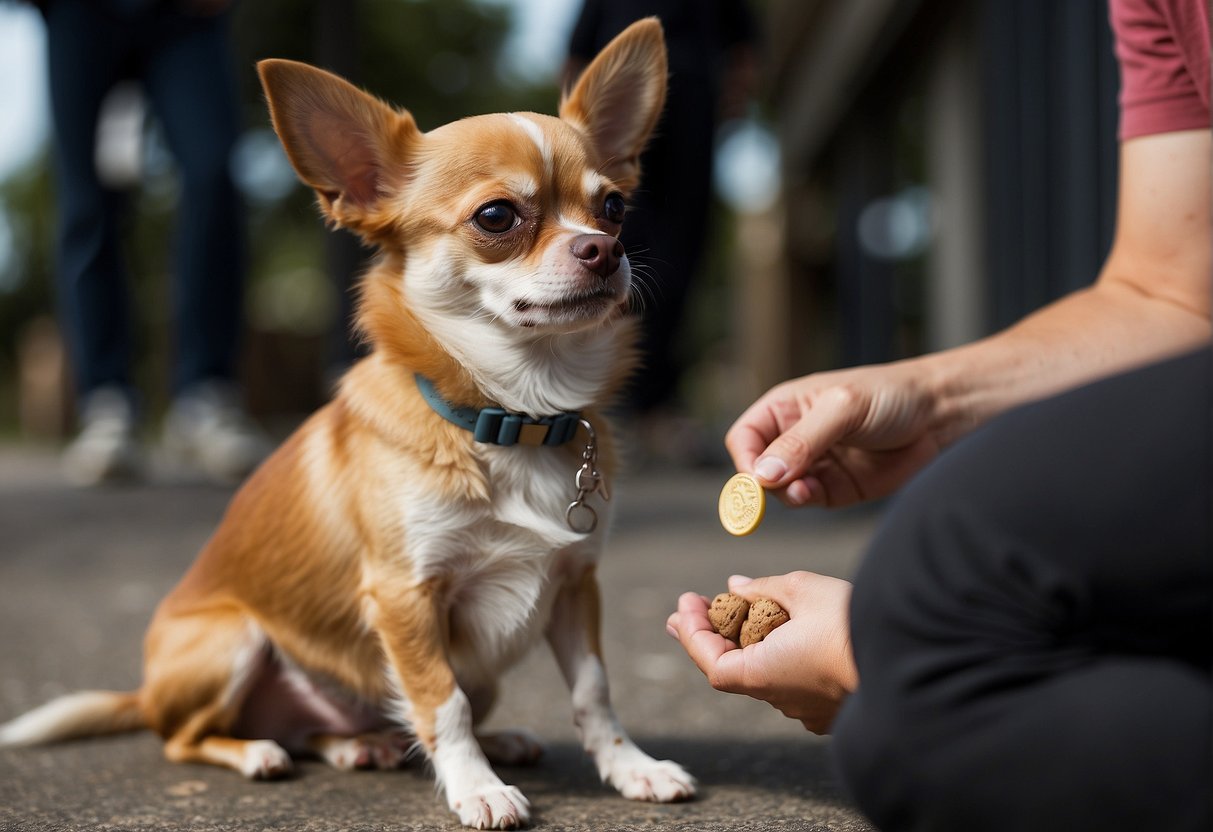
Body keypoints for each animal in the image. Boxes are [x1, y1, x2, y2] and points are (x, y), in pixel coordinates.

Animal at [0, 19, 693, 832]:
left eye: (613, 206)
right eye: (496, 216)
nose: (605, 249)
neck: (510, 416)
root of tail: (146, 693)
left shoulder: (575, 584)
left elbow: (593, 692)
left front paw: (631, 769)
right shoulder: (404, 597)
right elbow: (441, 702)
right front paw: (477, 788)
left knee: (340, 727)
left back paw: (378, 743)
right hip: (231, 641)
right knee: (188, 738)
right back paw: (258, 752)